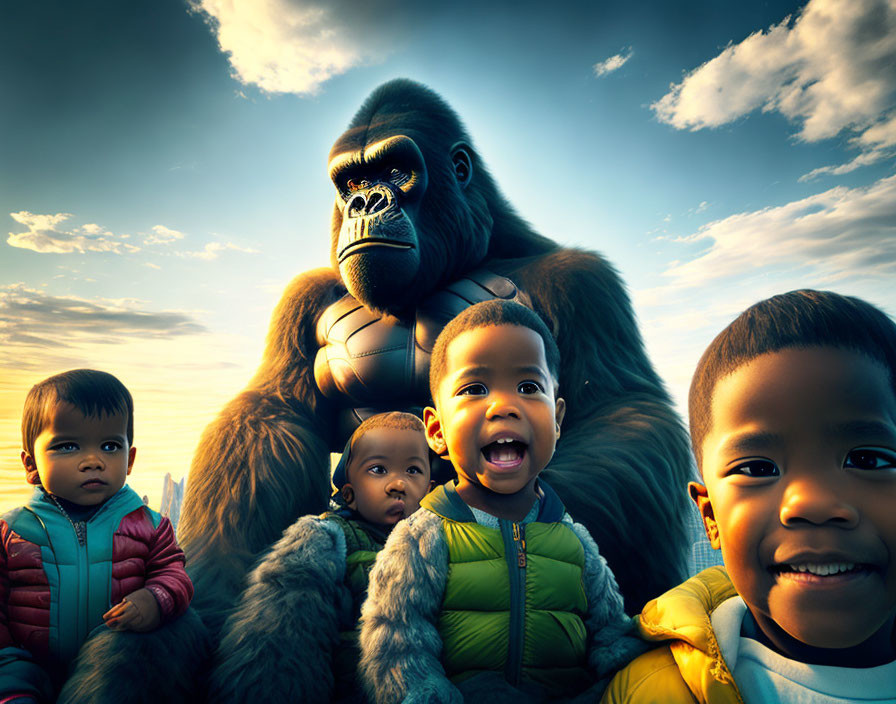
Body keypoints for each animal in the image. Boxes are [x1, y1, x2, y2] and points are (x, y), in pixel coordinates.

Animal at [175, 77, 692, 632]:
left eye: (396, 171)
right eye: (352, 180)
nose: (364, 203)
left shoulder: (581, 280)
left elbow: (620, 414)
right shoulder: (302, 297)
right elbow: (270, 412)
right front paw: (210, 594)